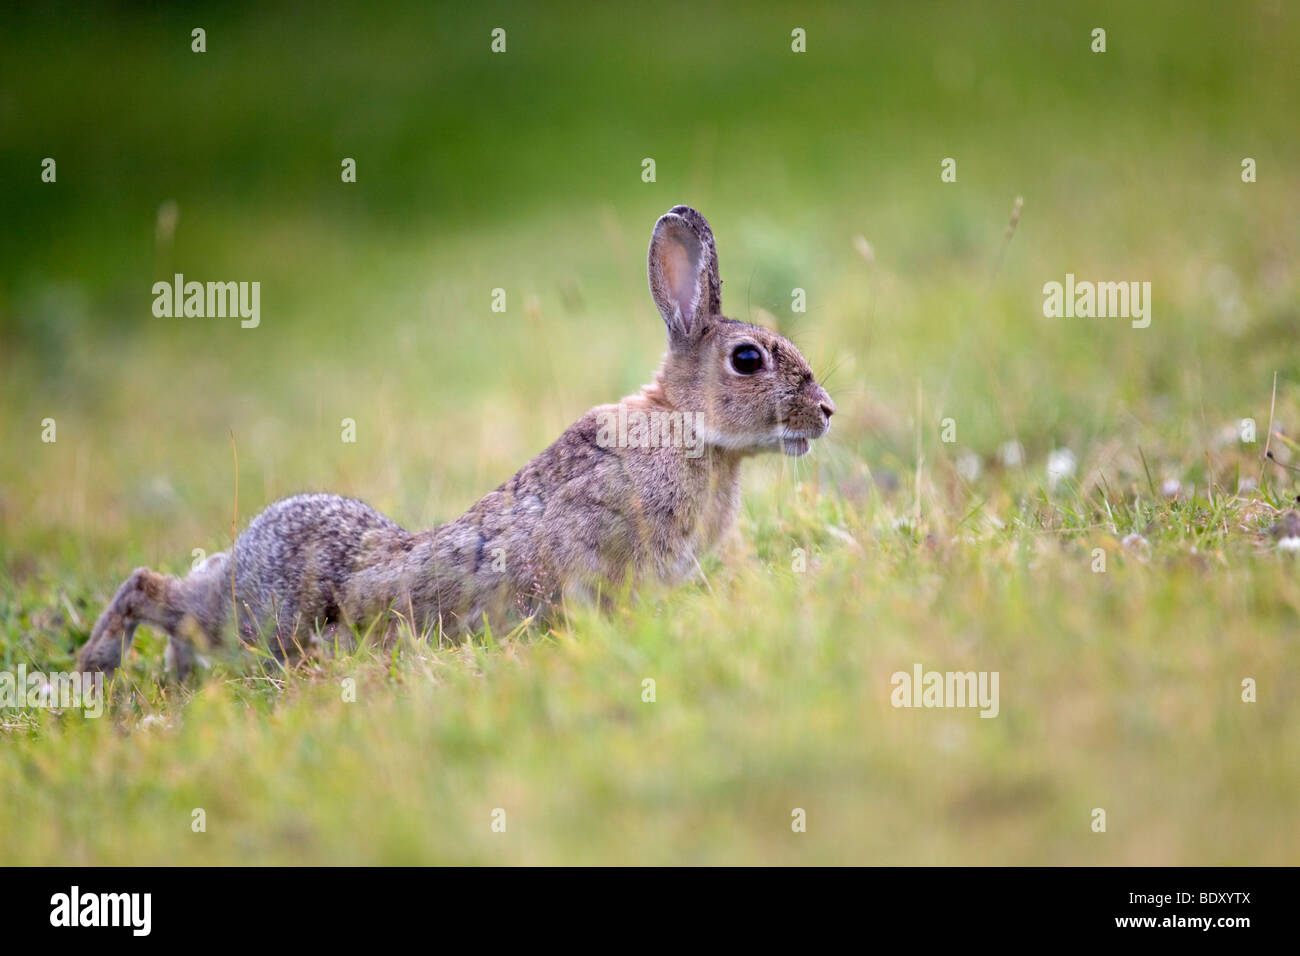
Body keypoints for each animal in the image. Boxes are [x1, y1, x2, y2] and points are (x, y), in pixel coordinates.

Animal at [76, 205, 836, 679]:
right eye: (747, 359)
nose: (826, 411)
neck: (688, 429)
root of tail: (255, 540)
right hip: (256, 620)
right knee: (155, 591)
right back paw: (95, 666)